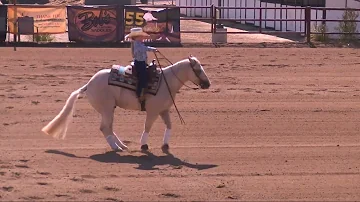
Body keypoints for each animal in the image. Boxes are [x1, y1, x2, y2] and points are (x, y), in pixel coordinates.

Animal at [41, 54, 211, 152]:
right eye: (198, 70)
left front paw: (165, 145)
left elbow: (169, 126)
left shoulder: (164, 111)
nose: (208, 84)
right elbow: (147, 127)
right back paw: (116, 148)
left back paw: (121, 145)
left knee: (109, 127)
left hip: (108, 110)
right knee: (105, 128)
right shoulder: (153, 111)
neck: (166, 81)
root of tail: (88, 84)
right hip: (107, 109)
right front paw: (144, 145)